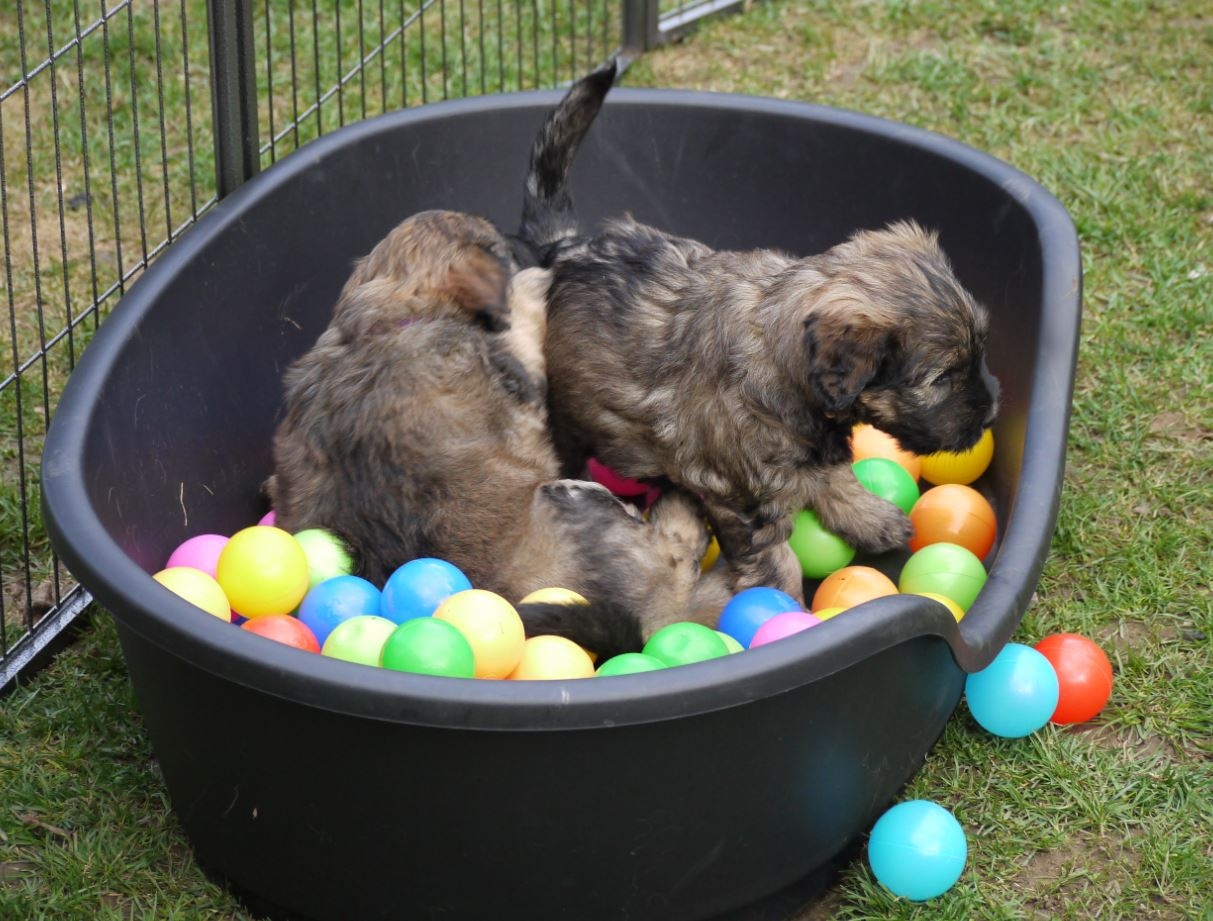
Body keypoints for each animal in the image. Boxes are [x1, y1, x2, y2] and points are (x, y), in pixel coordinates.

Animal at [268, 209, 732, 660]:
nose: (537, 251)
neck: (383, 321)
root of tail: (653, 627)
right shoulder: (522, 372)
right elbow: (522, 314)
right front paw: (540, 280)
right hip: (577, 502)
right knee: (676, 558)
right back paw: (683, 510)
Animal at [519, 62, 1000, 602]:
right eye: (942, 379)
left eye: (979, 353)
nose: (991, 412)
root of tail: (566, 250)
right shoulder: (742, 500)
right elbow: (777, 561)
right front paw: (784, 608)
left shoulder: (815, 446)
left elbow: (835, 475)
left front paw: (870, 518)